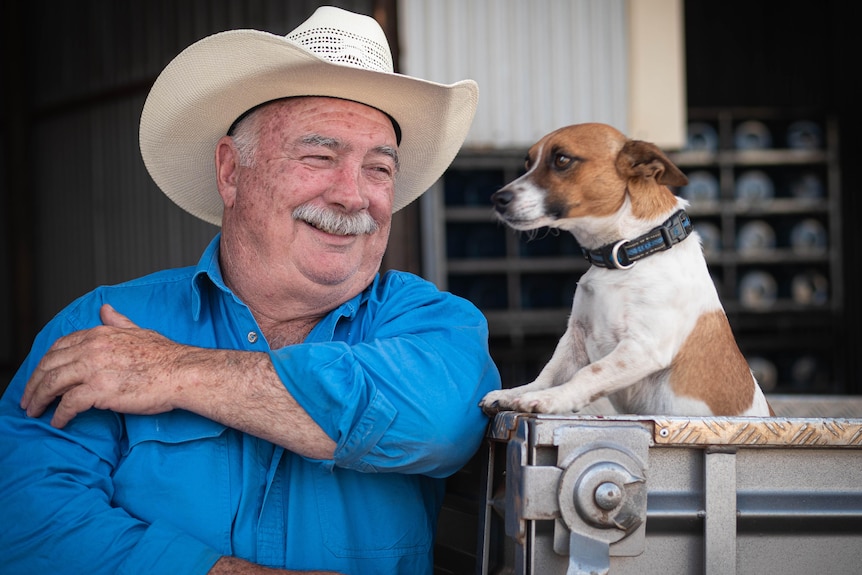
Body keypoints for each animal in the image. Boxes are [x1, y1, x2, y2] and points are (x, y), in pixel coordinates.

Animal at [480, 122, 776, 418]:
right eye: (528, 162)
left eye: (562, 159)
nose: (497, 198)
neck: (627, 253)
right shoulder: (575, 338)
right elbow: (549, 373)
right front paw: (516, 393)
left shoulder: (643, 346)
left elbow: (587, 374)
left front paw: (551, 398)